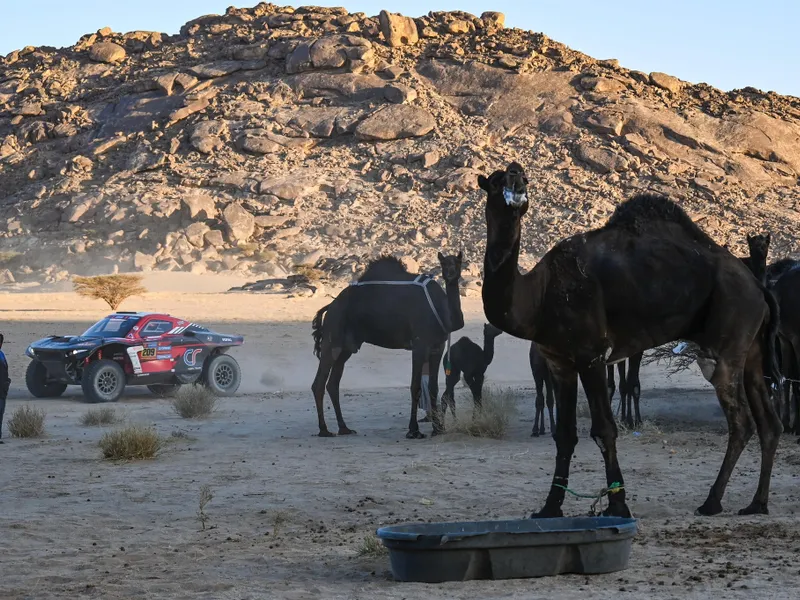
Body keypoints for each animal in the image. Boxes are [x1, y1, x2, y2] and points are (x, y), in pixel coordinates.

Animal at [310, 251, 462, 438]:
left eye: (458, 262)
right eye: (443, 263)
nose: (451, 273)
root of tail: (330, 306)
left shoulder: (437, 347)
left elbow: (433, 388)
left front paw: (438, 429)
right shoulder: (419, 345)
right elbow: (415, 386)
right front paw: (413, 431)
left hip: (346, 347)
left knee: (333, 384)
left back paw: (344, 428)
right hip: (333, 337)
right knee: (319, 383)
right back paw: (324, 429)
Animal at [482, 162, 780, 516]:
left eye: (525, 179)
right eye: (495, 181)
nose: (515, 180)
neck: (539, 295)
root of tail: (758, 287)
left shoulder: (591, 355)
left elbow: (604, 430)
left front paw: (617, 504)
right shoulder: (560, 362)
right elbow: (565, 435)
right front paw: (550, 507)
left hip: (727, 339)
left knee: (741, 422)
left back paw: (712, 502)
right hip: (752, 351)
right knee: (769, 423)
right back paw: (757, 503)